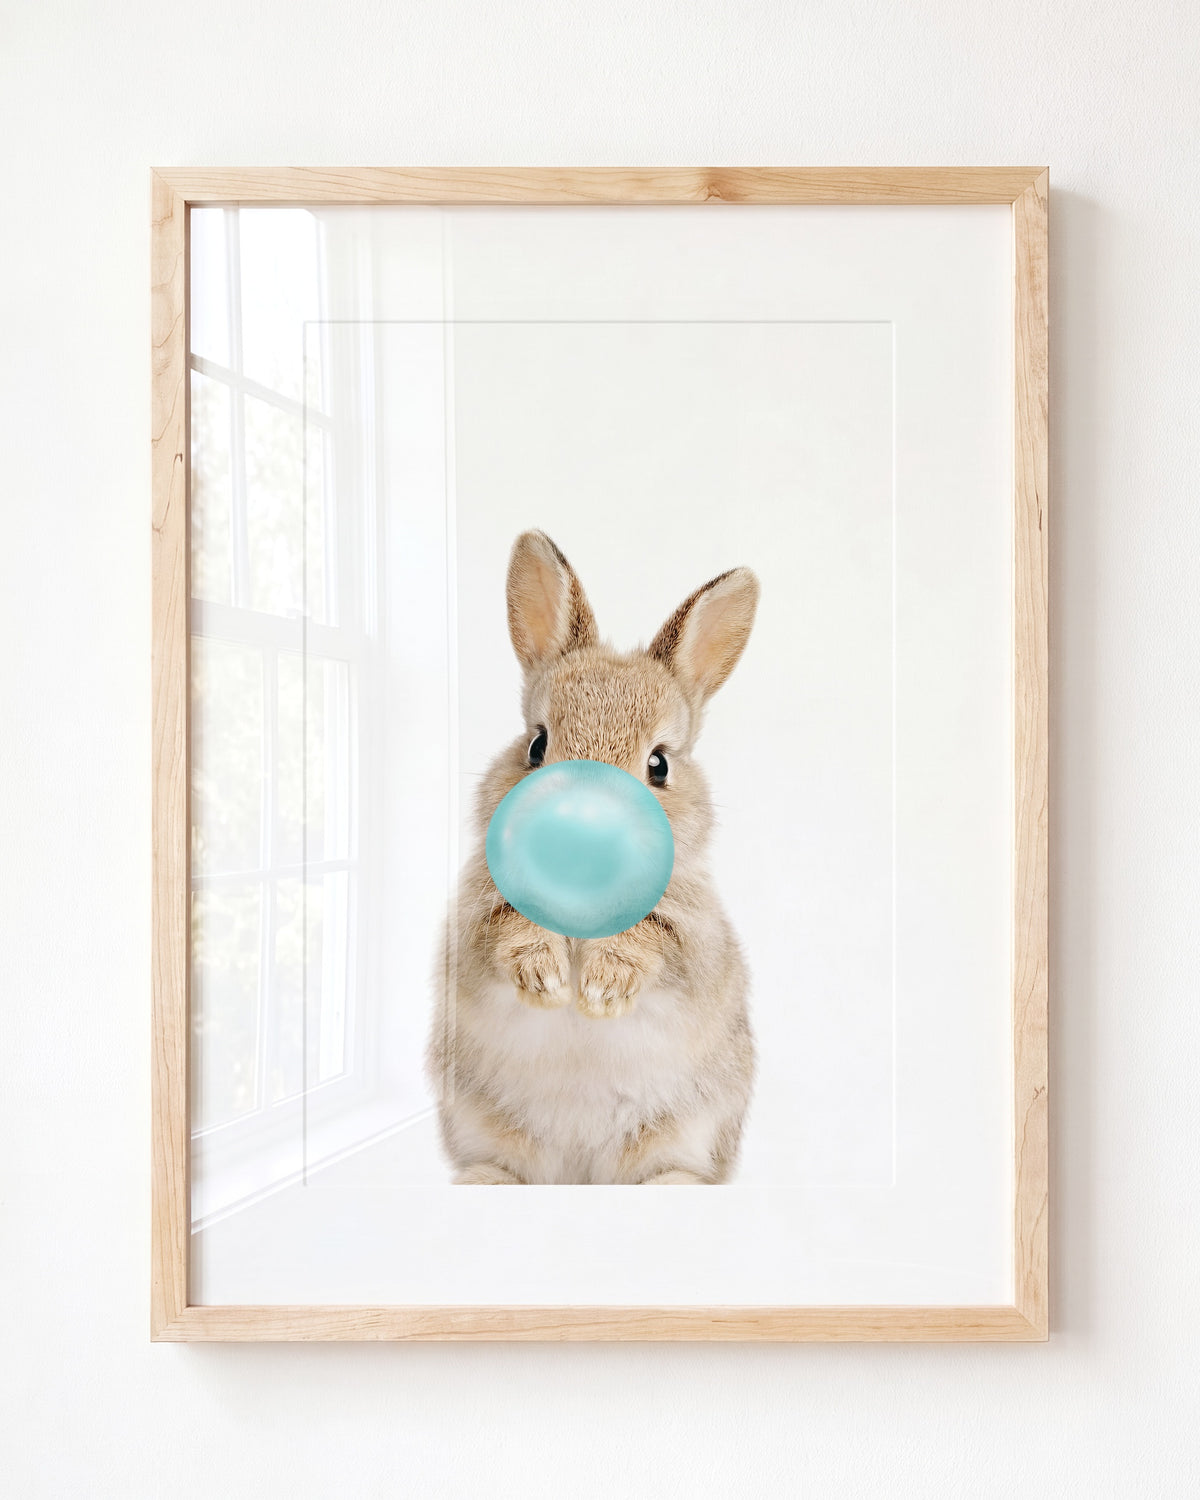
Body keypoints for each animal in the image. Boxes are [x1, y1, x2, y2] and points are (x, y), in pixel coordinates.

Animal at [428, 530, 759, 1184]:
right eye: (536, 745)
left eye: (659, 764)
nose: (581, 825)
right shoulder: (473, 927)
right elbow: (506, 931)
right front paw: (547, 979)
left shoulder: (696, 942)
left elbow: (653, 940)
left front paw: (601, 990)